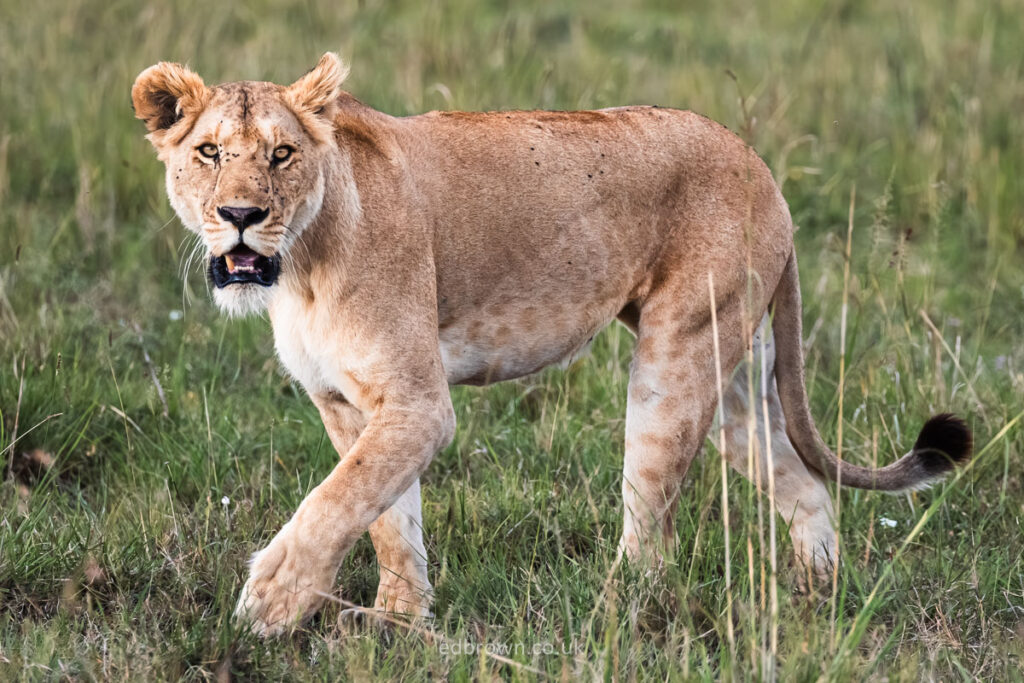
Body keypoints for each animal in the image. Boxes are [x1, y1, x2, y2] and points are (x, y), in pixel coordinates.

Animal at [132, 53, 972, 636]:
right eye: (209, 153)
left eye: (280, 154)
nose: (241, 215)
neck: (301, 264)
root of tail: (760, 165)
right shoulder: (348, 401)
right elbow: (384, 514)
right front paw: (400, 619)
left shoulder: (418, 403)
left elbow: (334, 500)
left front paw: (270, 601)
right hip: (735, 374)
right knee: (801, 482)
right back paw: (814, 600)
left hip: (674, 362)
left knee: (651, 531)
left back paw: (607, 614)